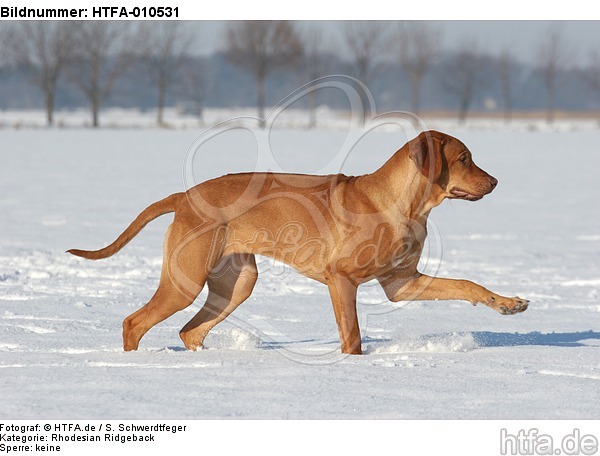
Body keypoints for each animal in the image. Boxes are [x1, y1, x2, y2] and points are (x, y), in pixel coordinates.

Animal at [70, 130, 528, 354]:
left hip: (236, 283)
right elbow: (352, 339)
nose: (495, 181)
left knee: (189, 331)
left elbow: (467, 284)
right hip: (184, 281)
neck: (404, 205)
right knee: (135, 322)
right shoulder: (342, 279)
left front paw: (508, 304)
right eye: (465, 158)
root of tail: (184, 196)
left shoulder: (403, 283)